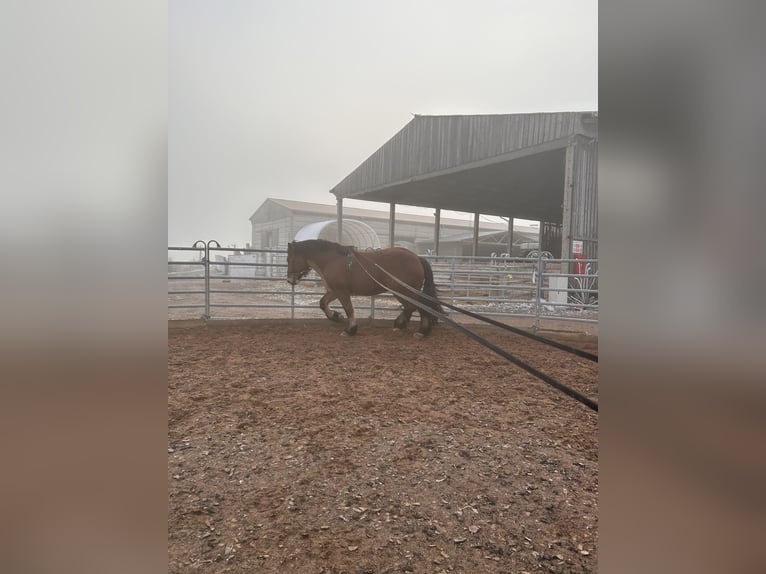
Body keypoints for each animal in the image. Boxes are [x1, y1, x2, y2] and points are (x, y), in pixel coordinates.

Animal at [288, 240, 444, 338]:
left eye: (290, 259)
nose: (290, 280)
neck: (332, 260)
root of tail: (417, 258)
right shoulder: (335, 291)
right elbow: (322, 303)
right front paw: (336, 316)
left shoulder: (342, 292)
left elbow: (349, 309)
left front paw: (350, 330)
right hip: (403, 291)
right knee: (411, 307)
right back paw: (401, 324)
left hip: (404, 290)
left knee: (418, 306)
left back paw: (421, 331)